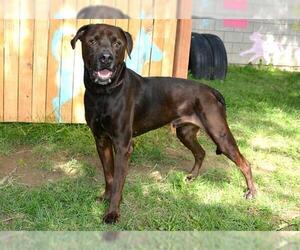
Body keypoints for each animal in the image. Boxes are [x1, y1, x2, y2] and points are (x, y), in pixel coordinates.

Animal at [70, 23, 255, 224]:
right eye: (92, 41)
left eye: (117, 43)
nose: (106, 58)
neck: (103, 93)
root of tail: (211, 90)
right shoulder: (101, 140)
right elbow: (109, 175)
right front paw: (106, 197)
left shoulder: (123, 145)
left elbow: (118, 181)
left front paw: (112, 212)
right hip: (185, 133)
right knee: (201, 152)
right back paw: (192, 176)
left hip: (219, 134)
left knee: (245, 162)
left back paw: (251, 192)